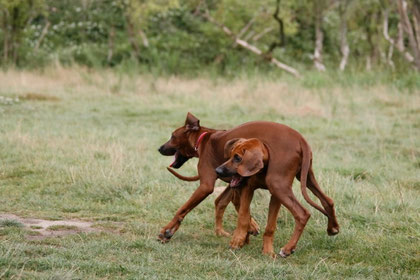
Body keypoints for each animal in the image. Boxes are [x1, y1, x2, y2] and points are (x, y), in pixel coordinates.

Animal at [159, 112, 340, 258]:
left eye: (172, 136)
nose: (159, 148)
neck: (204, 139)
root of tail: (301, 140)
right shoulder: (236, 182)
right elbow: (233, 205)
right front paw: (247, 232)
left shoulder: (207, 185)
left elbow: (183, 209)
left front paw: (166, 231)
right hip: (307, 177)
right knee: (328, 200)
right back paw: (333, 228)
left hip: (277, 184)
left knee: (302, 213)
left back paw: (287, 248)